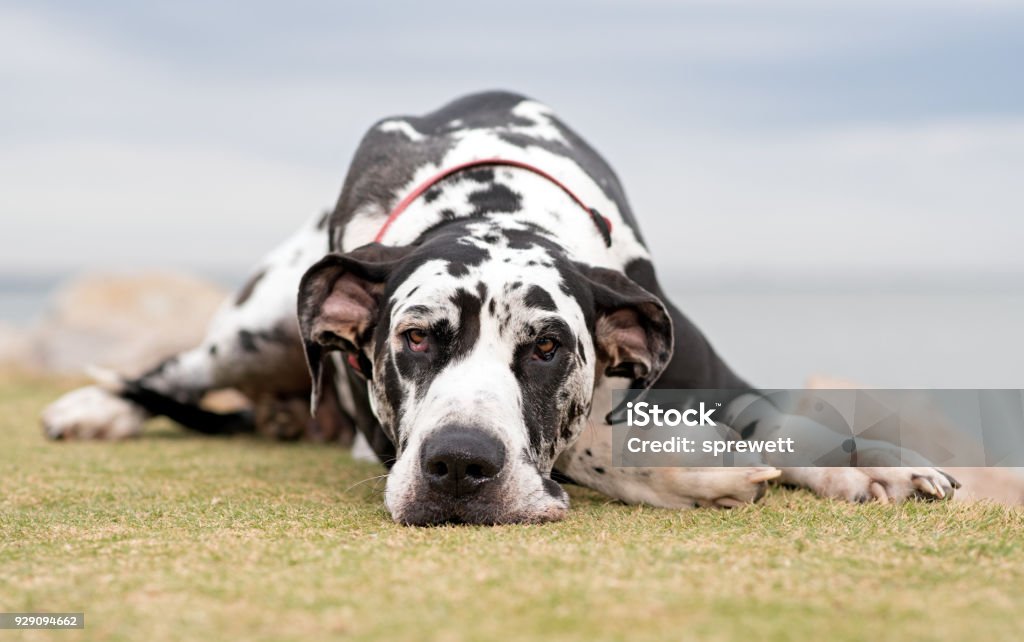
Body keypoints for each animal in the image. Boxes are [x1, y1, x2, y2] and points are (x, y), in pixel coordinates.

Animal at [44, 93, 958, 524]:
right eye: (414, 339)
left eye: (549, 348)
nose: (458, 467)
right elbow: (588, 443)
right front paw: (690, 468)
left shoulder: (714, 374)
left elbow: (794, 424)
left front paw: (873, 465)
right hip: (257, 321)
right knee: (174, 370)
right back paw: (94, 408)